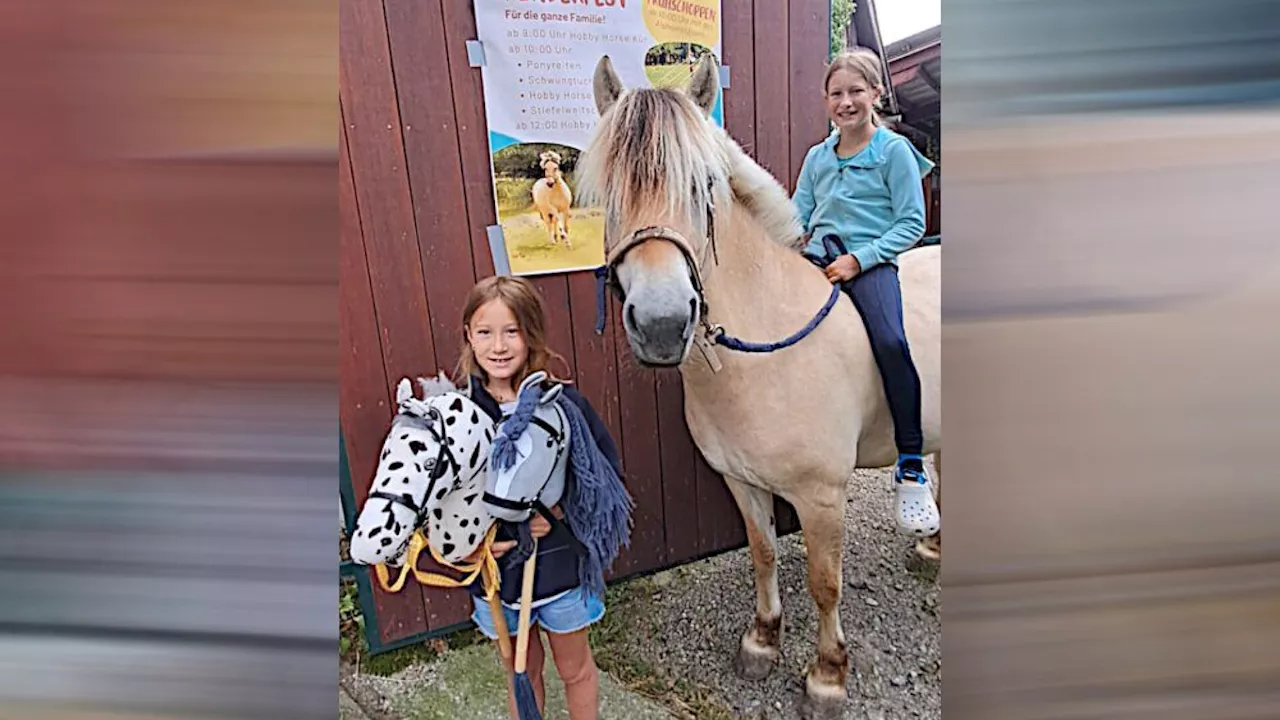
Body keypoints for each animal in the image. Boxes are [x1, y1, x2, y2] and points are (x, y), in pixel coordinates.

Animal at [581, 56, 942, 717]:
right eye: (608, 194)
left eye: (704, 187)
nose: (663, 324)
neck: (766, 348)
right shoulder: (740, 480)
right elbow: (764, 553)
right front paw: (762, 641)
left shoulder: (821, 496)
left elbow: (825, 583)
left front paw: (827, 676)